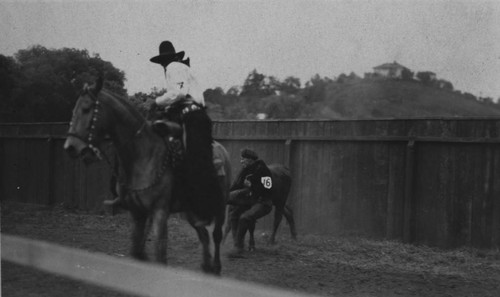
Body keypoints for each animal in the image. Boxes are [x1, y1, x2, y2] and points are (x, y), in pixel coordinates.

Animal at [63, 77, 232, 274]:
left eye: (87, 109)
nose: (70, 146)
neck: (143, 154)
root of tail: (222, 151)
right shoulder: (137, 213)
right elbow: (136, 251)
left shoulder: (159, 212)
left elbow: (160, 256)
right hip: (190, 210)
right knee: (203, 235)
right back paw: (206, 266)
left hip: (220, 205)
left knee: (216, 235)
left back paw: (216, 267)